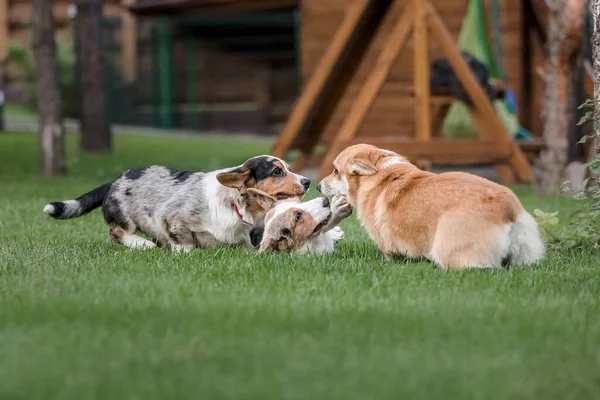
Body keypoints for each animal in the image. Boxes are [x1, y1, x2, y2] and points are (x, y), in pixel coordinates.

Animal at [322, 144, 548, 268]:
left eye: (335, 171)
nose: (317, 185)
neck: (379, 173)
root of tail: (509, 210)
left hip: (449, 246)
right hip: (526, 254)